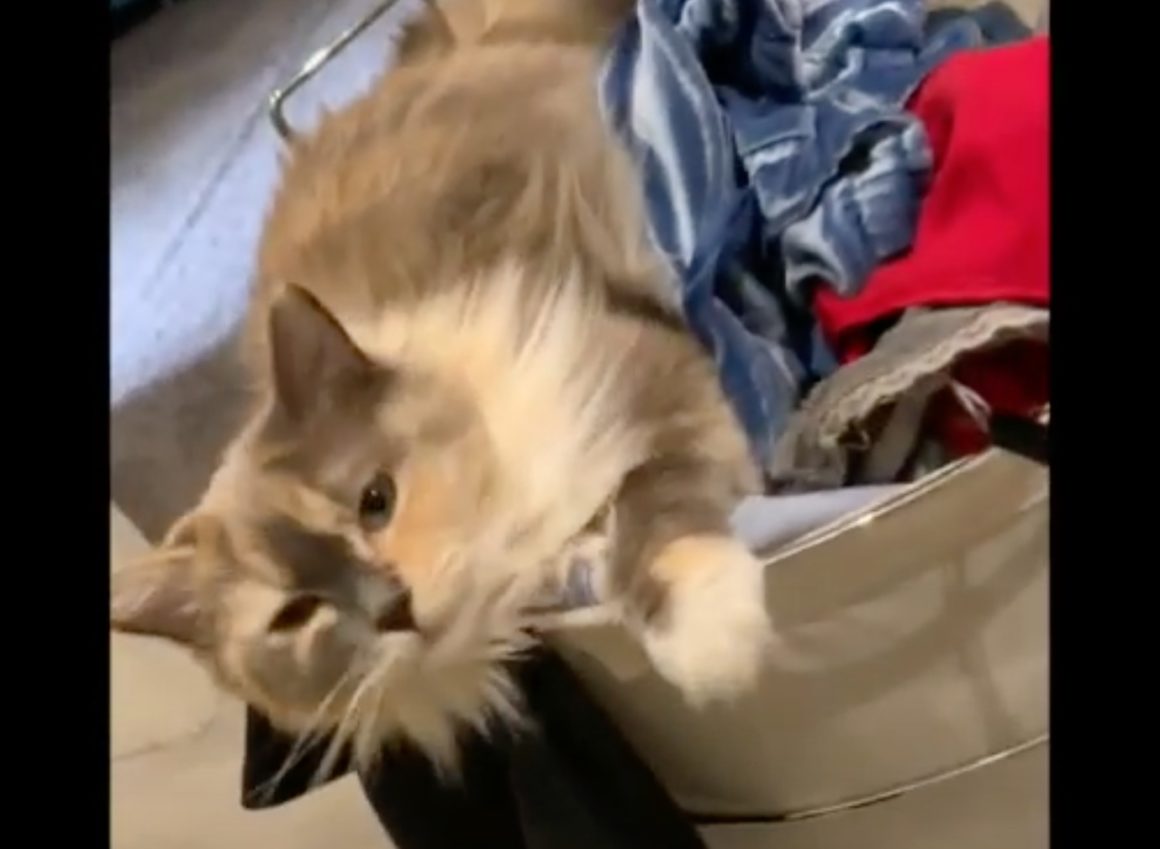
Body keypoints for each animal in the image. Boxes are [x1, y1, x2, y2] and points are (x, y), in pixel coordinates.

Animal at [110, 0, 773, 772]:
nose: (394, 609)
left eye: (376, 502)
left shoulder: (637, 368)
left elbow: (655, 494)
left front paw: (712, 639)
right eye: (293, 613)